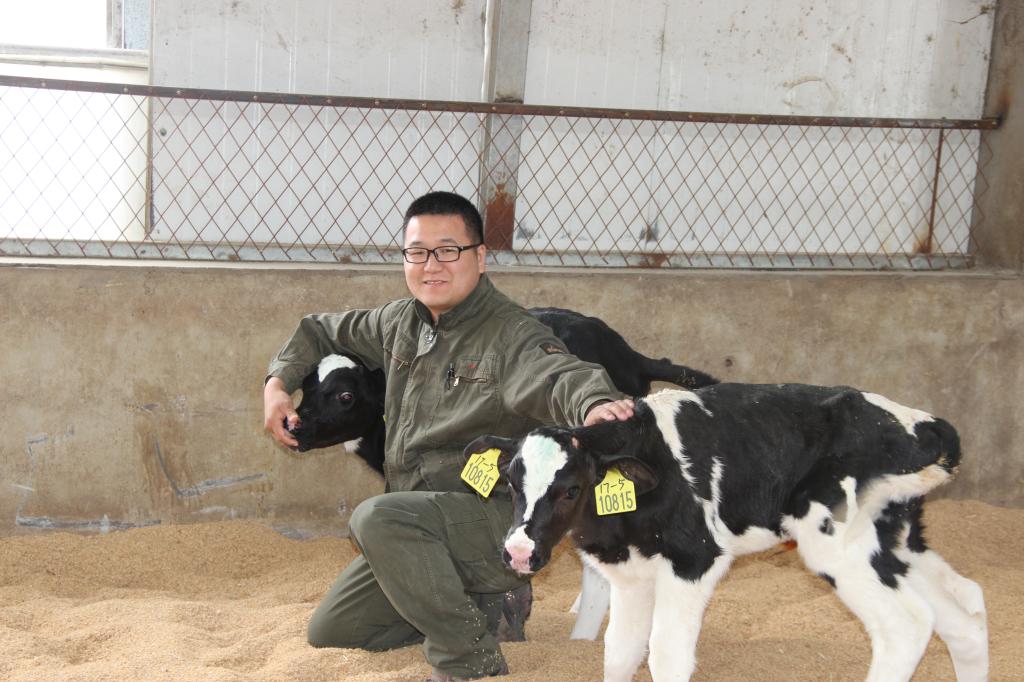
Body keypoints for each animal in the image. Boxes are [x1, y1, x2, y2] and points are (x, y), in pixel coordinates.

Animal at [467, 385, 989, 682]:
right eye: (511, 481)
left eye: (571, 489)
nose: (518, 553)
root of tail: (920, 424)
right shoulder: (630, 573)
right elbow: (620, 654)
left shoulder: (695, 559)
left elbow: (666, 656)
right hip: (893, 540)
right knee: (963, 616)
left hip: (836, 543)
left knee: (906, 626)